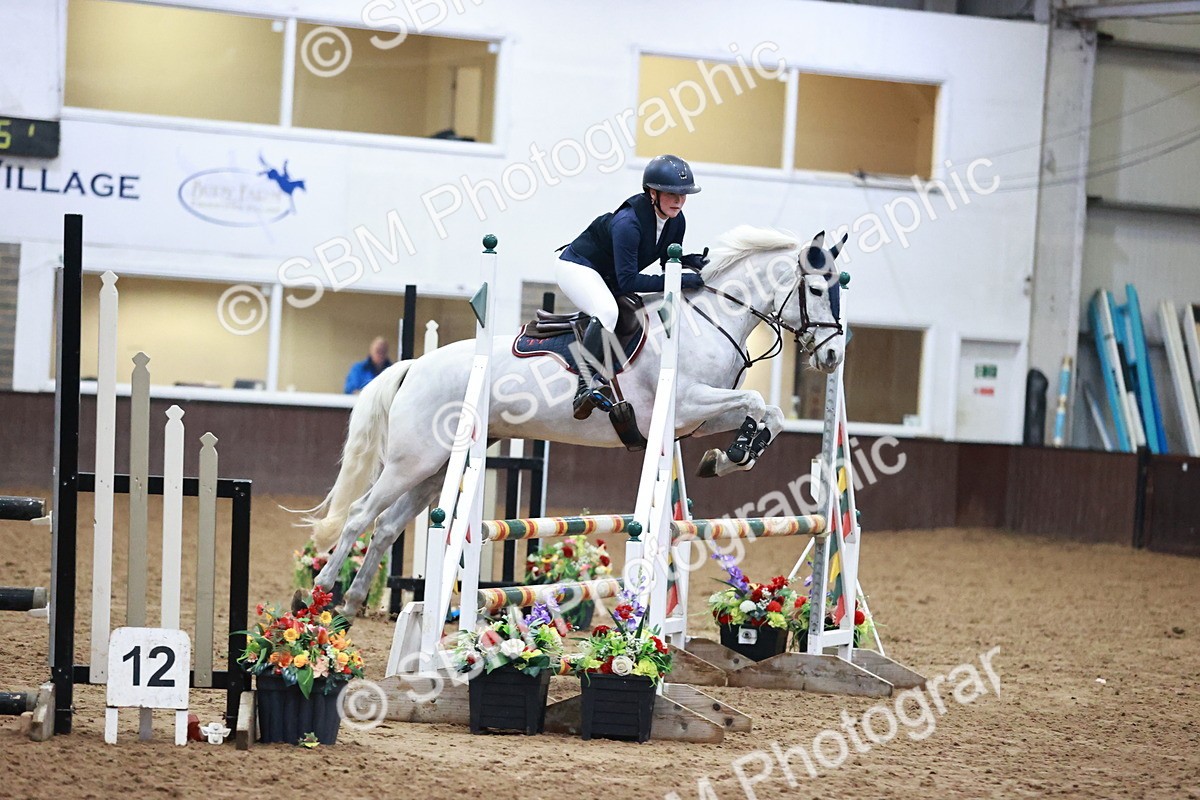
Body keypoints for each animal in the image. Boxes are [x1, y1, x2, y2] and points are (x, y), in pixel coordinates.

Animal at [306, 225, 850, 616]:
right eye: (817, 288)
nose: (832, 356)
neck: (707, 320)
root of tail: (416, 365)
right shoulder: (688, 402)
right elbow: (757, 400)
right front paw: (735, 452)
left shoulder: (698, 416)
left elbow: (767, 412)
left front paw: (731, 454)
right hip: (412, 461)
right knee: (360, 516)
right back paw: (317, 595)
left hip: (435, 468)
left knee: (386, 526)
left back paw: (352, 603)